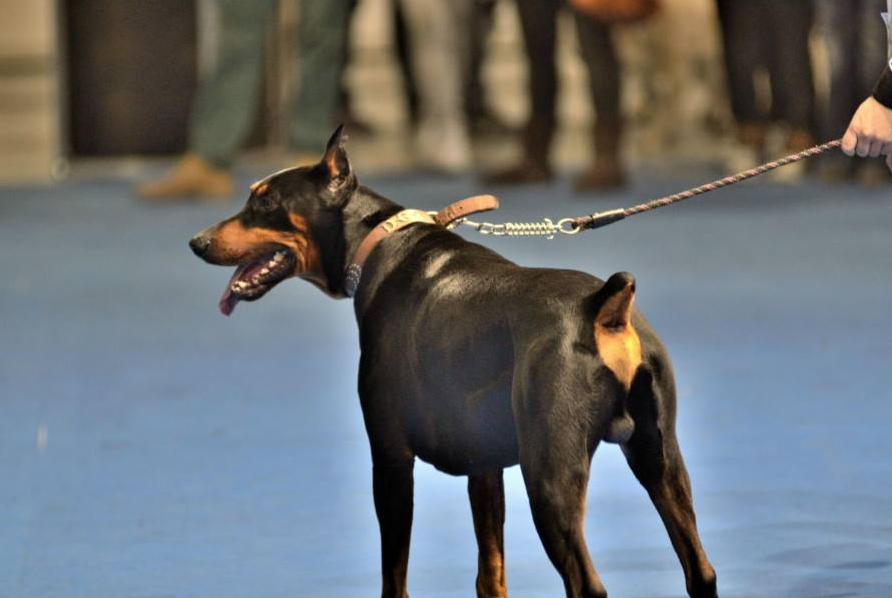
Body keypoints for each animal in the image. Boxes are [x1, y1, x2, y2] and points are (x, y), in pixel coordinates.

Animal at [190, 127, 716, 598]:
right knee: (701, 572)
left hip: (550, 476)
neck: (379, 244)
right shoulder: (485, 467)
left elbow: (394, 579)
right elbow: (491, 576)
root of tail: (604, 308)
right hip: (659, 457)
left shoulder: (391, 459)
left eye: (265, 204)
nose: (197, 241)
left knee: (587, 584)